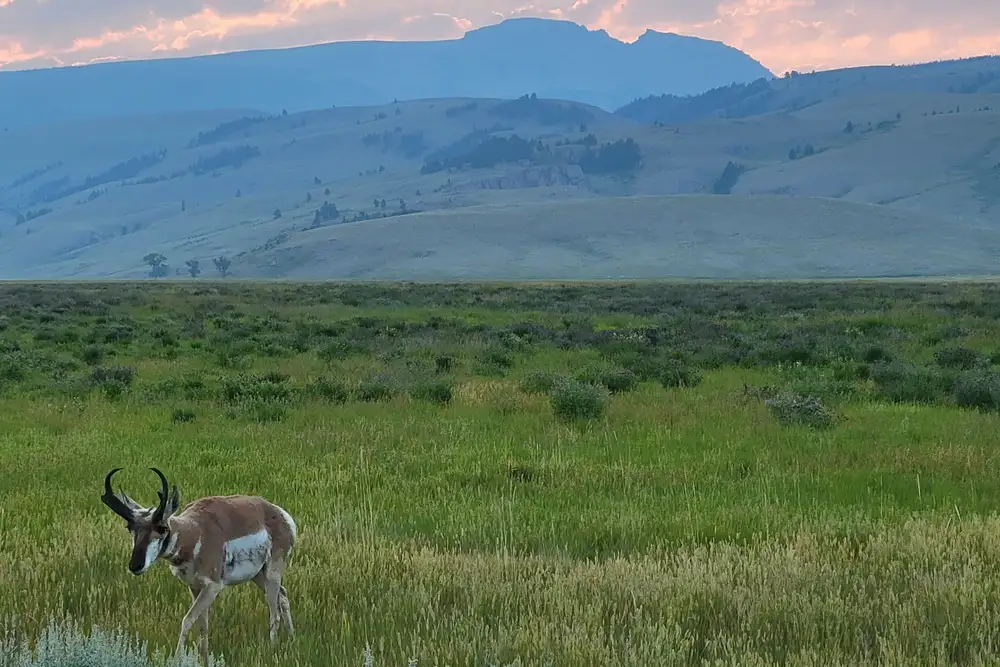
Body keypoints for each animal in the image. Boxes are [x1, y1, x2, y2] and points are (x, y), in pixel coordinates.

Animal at [99, 468, 298, 660]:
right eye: (130, 527)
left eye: (162, 528)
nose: (135, 566)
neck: (194, 532)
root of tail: (280, 514)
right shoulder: (195, 587)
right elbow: (203, 625)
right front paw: (203, 656)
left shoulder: (213, 587)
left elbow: (187, 620)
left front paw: (177, 659)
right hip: (258, 575)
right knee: (283, 595)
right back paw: (292, 638)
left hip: (272, 572)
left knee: (274, 612)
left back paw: (271, 648)